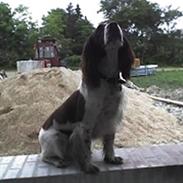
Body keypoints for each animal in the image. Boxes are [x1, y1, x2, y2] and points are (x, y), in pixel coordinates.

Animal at [38, 21, 134, 173]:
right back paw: (58, 161)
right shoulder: (85, 126)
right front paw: (88, 166)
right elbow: (85, 149)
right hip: (57, 137)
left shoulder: (111, 120)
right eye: (100, 28)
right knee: (45, 156)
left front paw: (111, 158)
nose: (113, 25)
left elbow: (109, 141)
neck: (107, 80)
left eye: (117, 24)